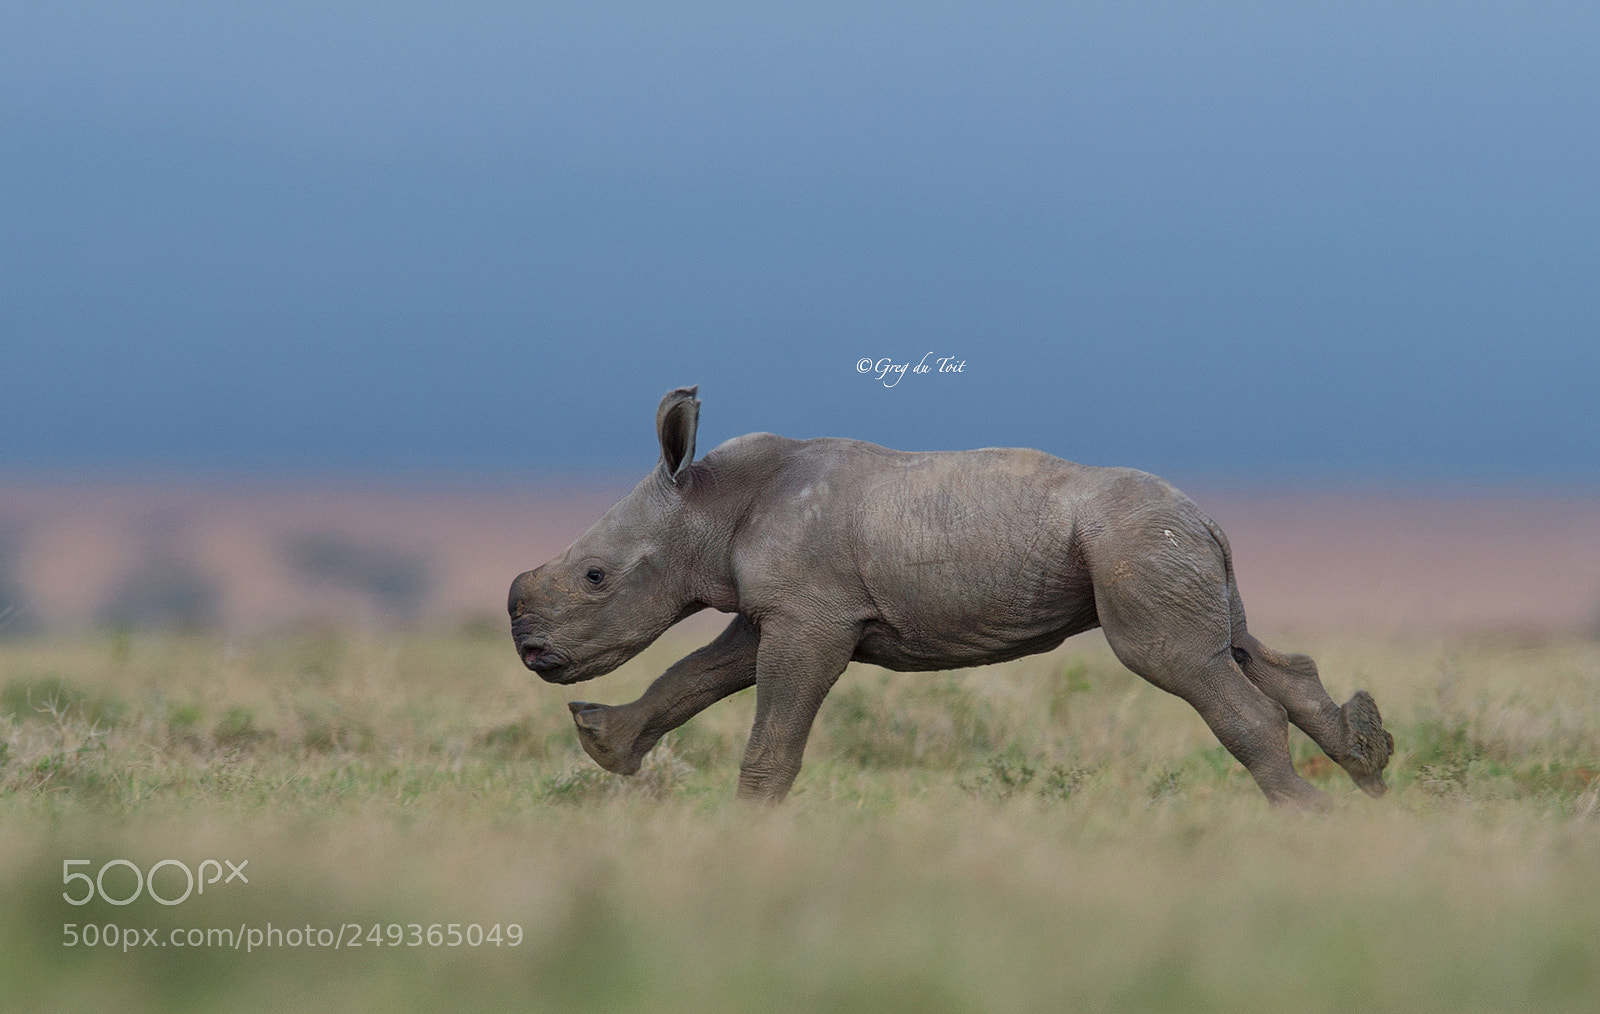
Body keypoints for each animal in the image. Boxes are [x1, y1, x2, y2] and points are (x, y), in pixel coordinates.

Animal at [509, 386, 1393, 807]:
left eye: (594, 578)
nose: (529, 651)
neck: (708, 505)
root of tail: (1208, 517)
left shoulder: (810, 615)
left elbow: (772, 733)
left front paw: (747, 824)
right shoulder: (783, 609)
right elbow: (694, 675)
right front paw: (604, 746)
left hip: (1136, 544)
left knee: (1180, 663)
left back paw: (1308, 817)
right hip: (1165, 545)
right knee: (1237, 646)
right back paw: (1368, 774)